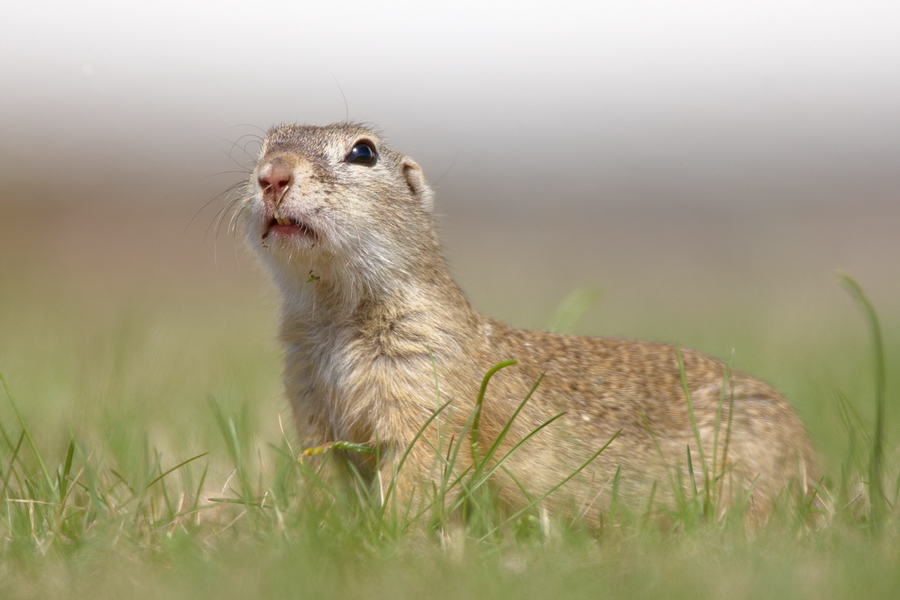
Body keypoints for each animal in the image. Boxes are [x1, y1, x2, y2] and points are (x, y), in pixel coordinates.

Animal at [239, 122, 816, 520]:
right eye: (264, 145)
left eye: (363, 152)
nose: (273, 175)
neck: (335, 315)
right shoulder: (311, 407)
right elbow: (323, 475)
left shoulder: (427, 391)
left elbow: (418, 471)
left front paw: (393, 535)